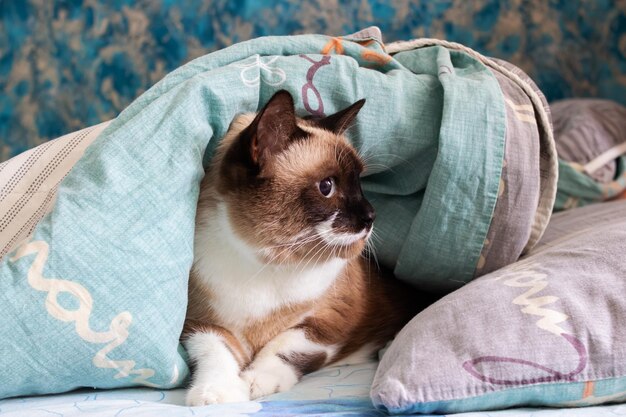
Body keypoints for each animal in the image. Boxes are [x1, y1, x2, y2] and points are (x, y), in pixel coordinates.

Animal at [183, 90, 432, 404]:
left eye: (360, 184)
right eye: (327, 186)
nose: (371, 216)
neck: (267, 264)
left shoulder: (330, 320)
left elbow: (287, 345)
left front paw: (256, 382)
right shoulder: (199, 321)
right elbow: (216, 351)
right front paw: (215, 394)